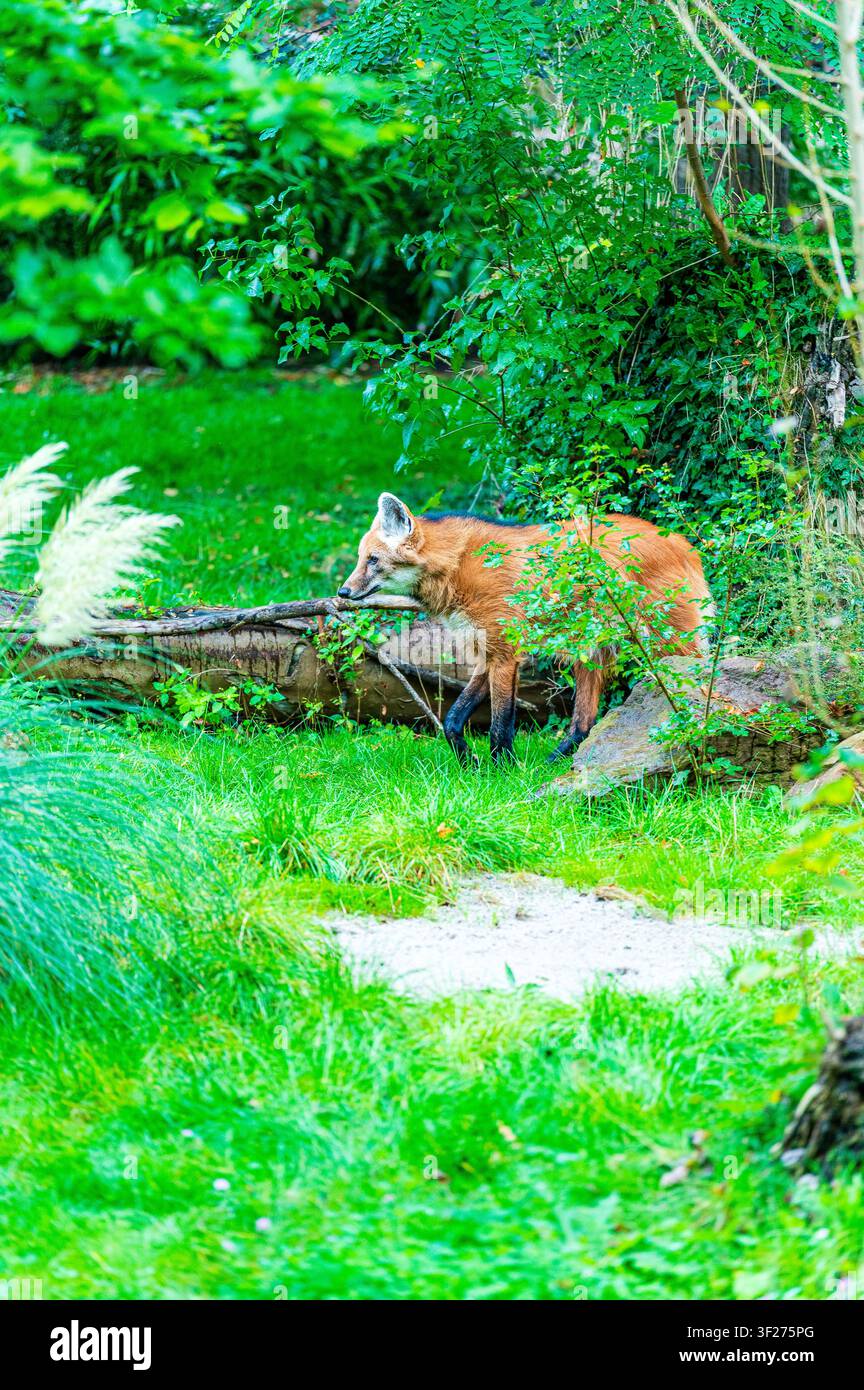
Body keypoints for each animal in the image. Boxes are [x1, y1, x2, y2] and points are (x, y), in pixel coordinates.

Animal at [338, 493, 713, 765]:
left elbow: (500, 725)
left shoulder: (505, 653)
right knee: (583, 723)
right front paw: (472, 765)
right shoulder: (487, 652)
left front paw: (503, 772)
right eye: (360, 559)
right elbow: (453, 720)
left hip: (669, 643)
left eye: (373, 560)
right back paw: (551, 766)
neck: (457, 566)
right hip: (590, 649)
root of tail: (685, 544)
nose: (343, 592)